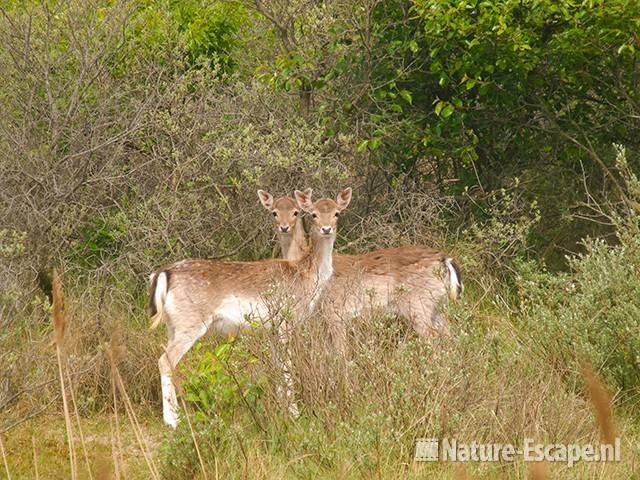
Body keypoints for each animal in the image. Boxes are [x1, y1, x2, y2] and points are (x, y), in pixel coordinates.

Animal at [148, 188, 352, 428]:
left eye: (337, 213)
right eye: (313, 214)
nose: (326, 228)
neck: (306, 278)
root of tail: (163, 274)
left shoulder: (272, 330)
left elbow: (277, 367)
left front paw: (282, 409)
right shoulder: (285, 322)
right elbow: (287, 367)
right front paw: (294, 414)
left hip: (172, 325)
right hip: (191, 323)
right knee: (165, 361)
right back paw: (172, 421)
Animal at [258, 189, 462, 350]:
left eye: (296, 212)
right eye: (274, 212)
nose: (284, 227)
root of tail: (445, 260)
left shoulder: (335, 313)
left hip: (418, 305)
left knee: (433, 339)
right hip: (437, 305)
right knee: (450, 334)